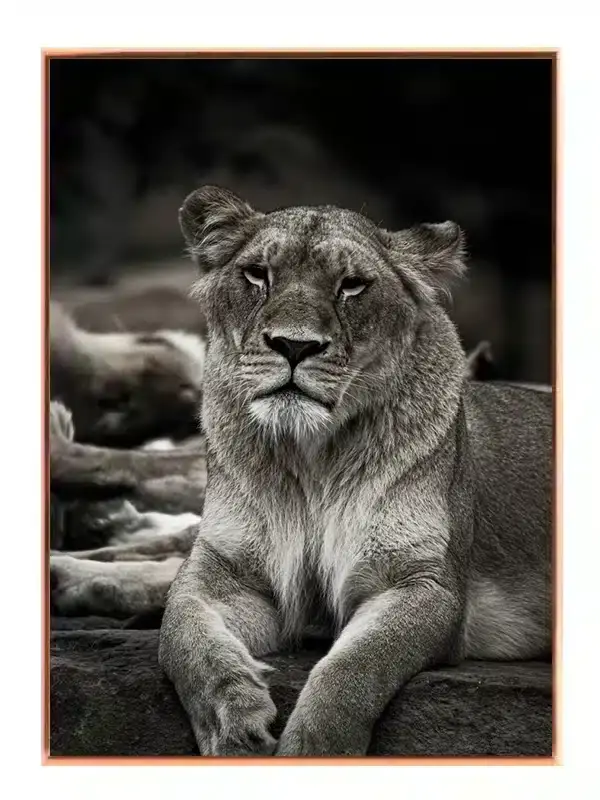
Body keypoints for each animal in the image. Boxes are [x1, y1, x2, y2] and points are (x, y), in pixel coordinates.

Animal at [151, 186, 552, 757]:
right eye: (257, 275)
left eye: (352, 285)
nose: (294, 346)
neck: (313, 453)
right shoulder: (223, 571)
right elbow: (183, 636)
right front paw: (234, 725)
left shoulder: (424, 583)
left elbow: (357, 666)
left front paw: (315, 749)